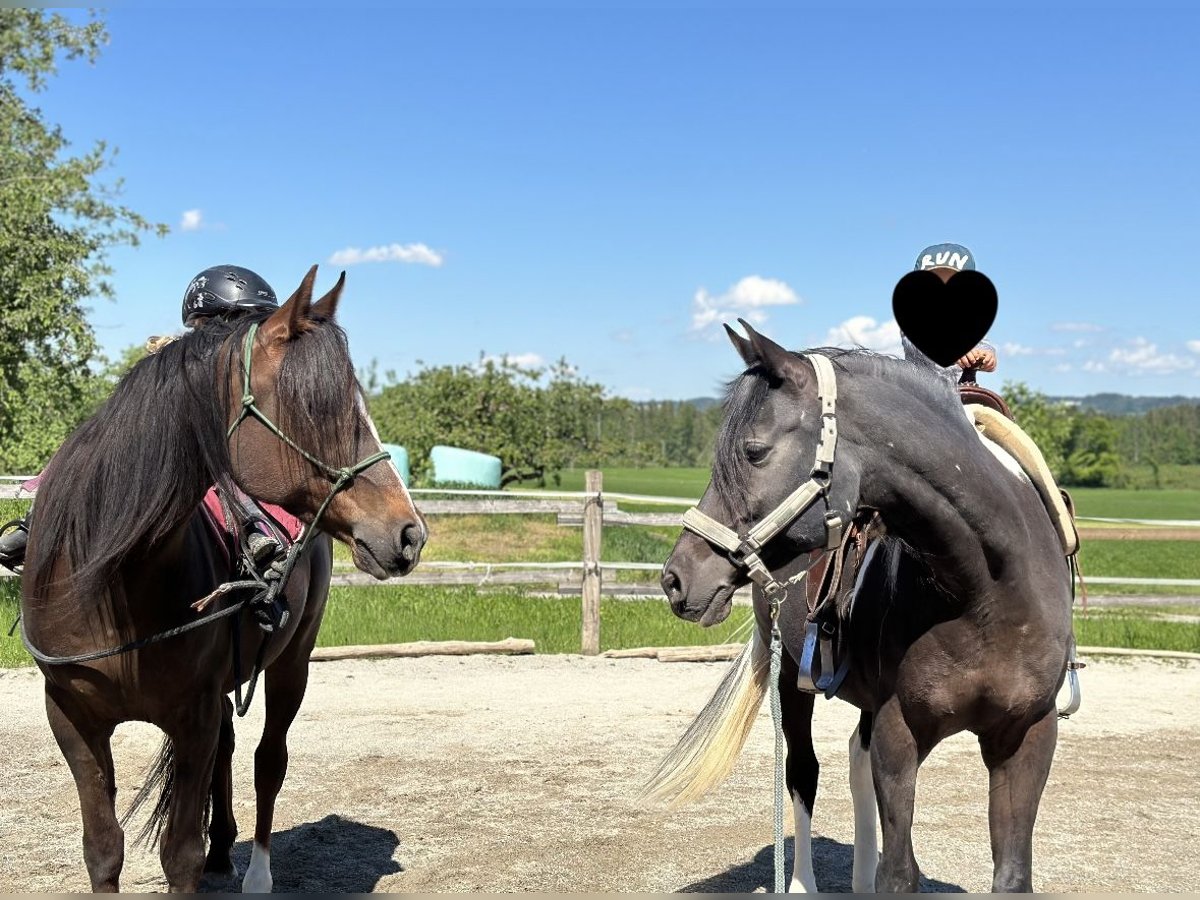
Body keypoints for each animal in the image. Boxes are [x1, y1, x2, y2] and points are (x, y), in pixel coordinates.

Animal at [20, 265, 427, 893]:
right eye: (320, 409)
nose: (409, 533)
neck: (113, 581)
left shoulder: (194, 717)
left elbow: (179, 853)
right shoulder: (73, 718)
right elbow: (103, 849)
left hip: (293, 662)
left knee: (268, 759)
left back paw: (256, 872)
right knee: (233, 753)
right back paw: (224, 850)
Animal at [647, 320, 1075, 893]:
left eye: (754, 451)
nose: (676, 579)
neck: (987, 591)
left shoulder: (1027, 737)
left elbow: (1010, 876)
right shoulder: (901, 736)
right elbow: (899, 873)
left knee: (853, 759)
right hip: (792, 678)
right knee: (803, 772)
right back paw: (802, 884)